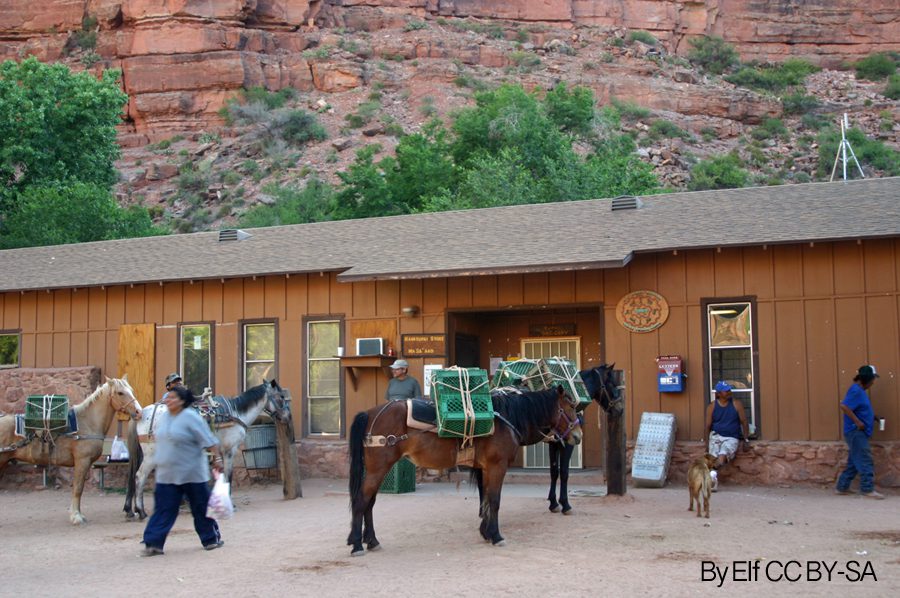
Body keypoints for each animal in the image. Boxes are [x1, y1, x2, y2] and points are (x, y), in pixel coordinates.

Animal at [0, 378, 142, 528]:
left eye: (131, 391)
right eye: (120, 393)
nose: (138, 412)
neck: (87, 423)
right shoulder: (82, 461)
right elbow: (78, 489)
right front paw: (76, 516)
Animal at [122, 384, 288, 520]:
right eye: (281, 397)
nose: (286, 417)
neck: (235, 413)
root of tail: (141, 413)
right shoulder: (229, 450)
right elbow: (228, 476)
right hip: (151, 455)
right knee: (140, 476)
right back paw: (141, 511)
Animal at [344, 384, 584, 556]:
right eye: (571, 407)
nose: (578, 435)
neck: (506, 418)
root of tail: (370, 413)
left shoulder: (486, 469)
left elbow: (486, 500)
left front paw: (486, 532)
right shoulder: (497, 467)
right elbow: (494, 501)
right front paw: (496, 536)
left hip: (378, 469)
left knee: (369, 502)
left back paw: (372, 541)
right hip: (378, 468)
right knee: (361, 500)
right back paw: (357, 544)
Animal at [540, 364, 620, 516]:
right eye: (612, 384)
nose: (620, 409)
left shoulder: (554, 442)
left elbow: (554, 472)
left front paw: (553, 503)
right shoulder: (567, 443)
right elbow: (564, 472)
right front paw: (565, 504)